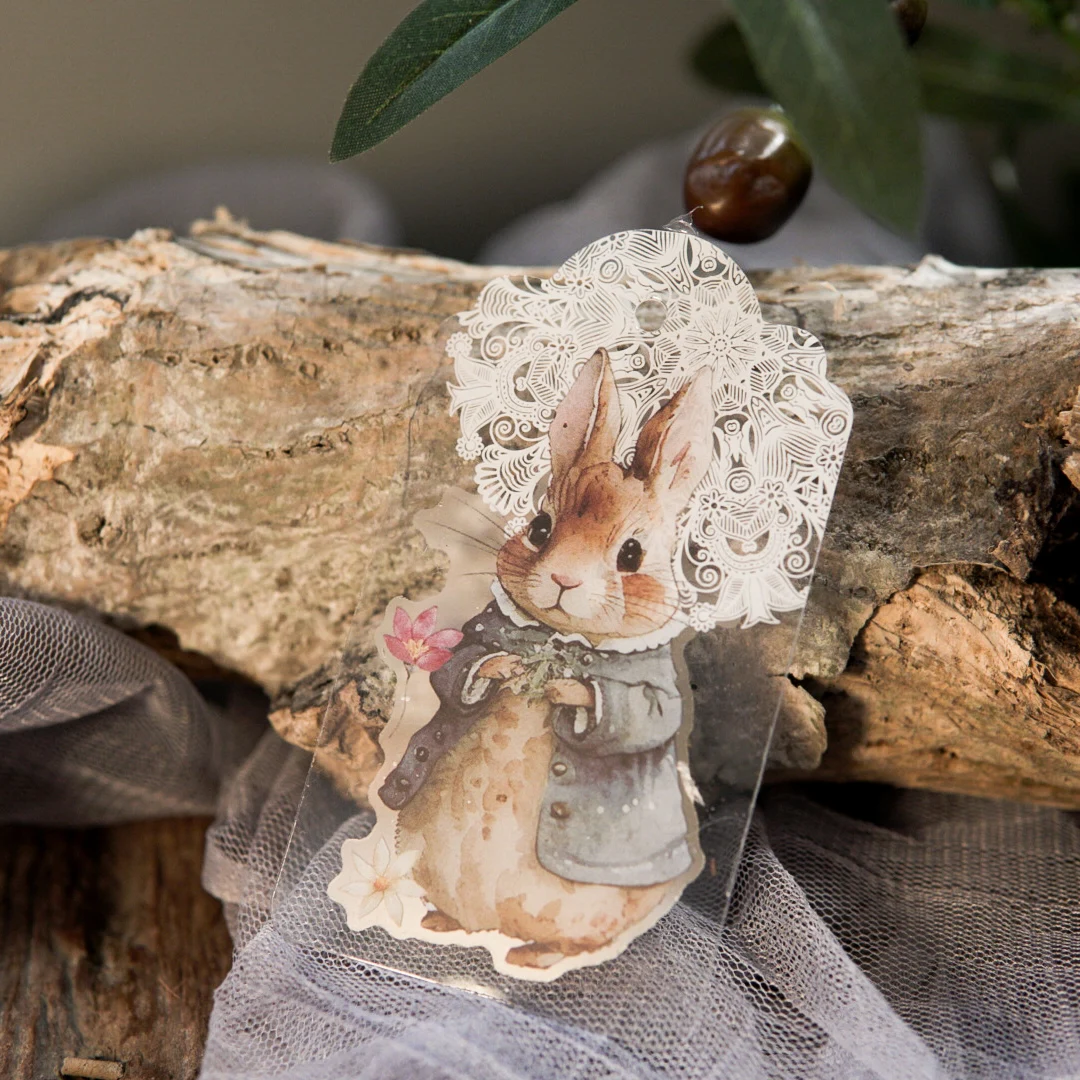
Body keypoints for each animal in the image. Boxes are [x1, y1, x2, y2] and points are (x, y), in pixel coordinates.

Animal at [384, 348, 714, 971]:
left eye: (631, 555)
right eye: (540, 528)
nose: (564, 580)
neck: (560, 638)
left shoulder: (655, 681)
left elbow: (649, 715)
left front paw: (568, 691)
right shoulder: (475, 634)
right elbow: (457, 669)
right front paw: (504, 671)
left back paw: (532, 957)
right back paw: (443, 923)